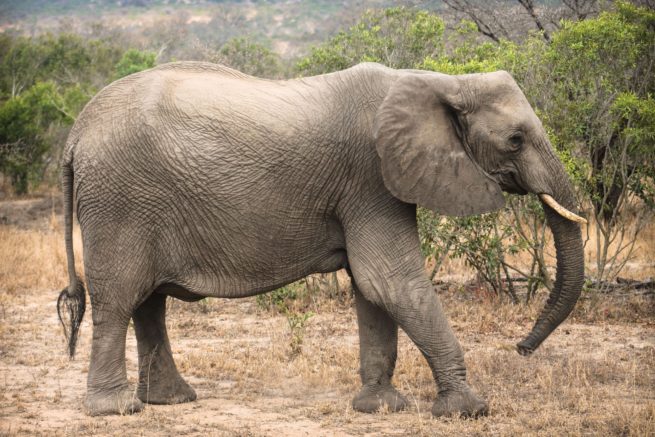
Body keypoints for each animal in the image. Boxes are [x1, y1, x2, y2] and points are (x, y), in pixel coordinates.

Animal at [56, 61, 586, 417]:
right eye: (515, 140)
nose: (521, 348)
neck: (442, 82)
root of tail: (75, 132)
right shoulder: (371, 177)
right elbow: (390, 280)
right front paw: (468, 410)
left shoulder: (373, 186)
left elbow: (372, 289)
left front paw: (381, 407)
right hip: (121, 200)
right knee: (119, 299)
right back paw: (117, 411)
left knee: (148, 303)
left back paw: (171, 401)